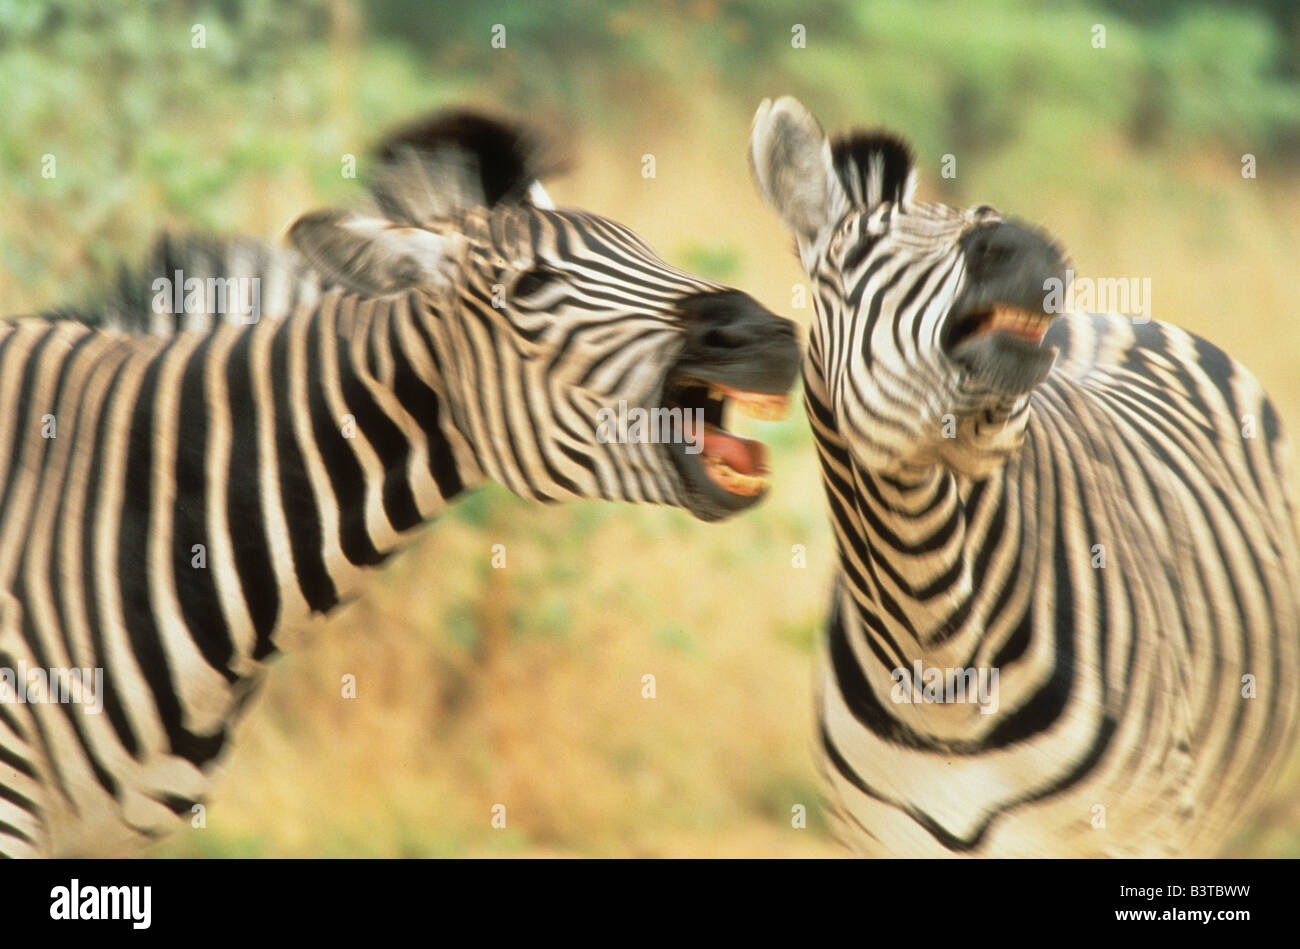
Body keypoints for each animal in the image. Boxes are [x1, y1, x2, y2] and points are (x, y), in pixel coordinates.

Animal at [748, 98, 1300, 857]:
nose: (1027, 244)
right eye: (858, 256)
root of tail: (1115, 317)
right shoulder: (877, 838)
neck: (938, 650)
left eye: (980, 214)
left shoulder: (1138, 831)